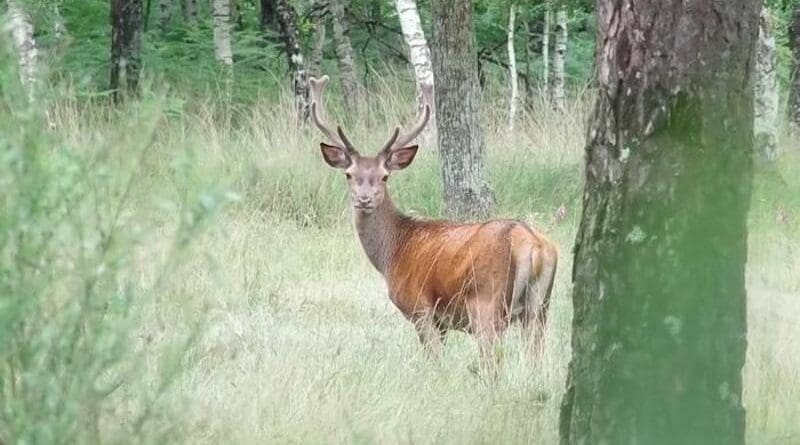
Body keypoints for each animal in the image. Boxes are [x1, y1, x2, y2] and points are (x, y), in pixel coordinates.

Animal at [309, 75, 558, 366]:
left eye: (384, 176)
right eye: (349, 174)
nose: (364, 199)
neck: (392, 253)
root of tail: (532, 244)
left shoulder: (421, 309)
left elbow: (435, 360)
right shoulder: (441, 322)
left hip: (486, 303)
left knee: (492, 360)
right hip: (540, 307)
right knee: (536, 356)